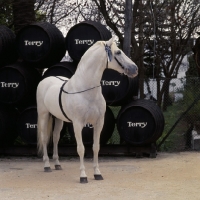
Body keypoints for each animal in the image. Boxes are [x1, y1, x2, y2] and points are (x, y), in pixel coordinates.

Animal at [36, 36, 138, 183]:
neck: (85, 90)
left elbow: (96, 147)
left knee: (55, 138)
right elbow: (81, 149)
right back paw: (47, 165)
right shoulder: (78, 124)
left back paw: (57, 164)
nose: (135, 69)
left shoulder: (98, 123)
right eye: (118, 52)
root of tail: (46, 80)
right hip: (44, 115)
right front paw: (83, 175)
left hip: (59, 119)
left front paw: (97, 173)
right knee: (45, 138)